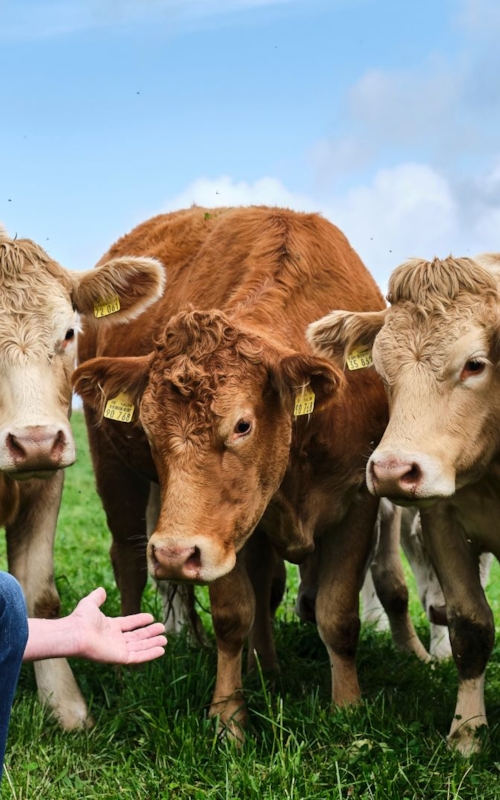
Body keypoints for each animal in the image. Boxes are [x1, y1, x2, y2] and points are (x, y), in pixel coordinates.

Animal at [73, 204, 422, 737]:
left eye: (242, 425)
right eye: (148, 427)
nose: (173, 553)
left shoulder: (356, 504)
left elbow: (336, 613)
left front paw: (347, 708)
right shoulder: (216, 535)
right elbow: (233, 615)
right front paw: (228, 717)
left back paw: (264, 664)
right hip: (115, 469)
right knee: (128, 560)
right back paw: (134, 662)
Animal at [307, 252, 500, 755]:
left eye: (475, 364)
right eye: (379, 370)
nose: (393, 470)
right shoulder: (441, 521)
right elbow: (470, 627)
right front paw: (467, 734)